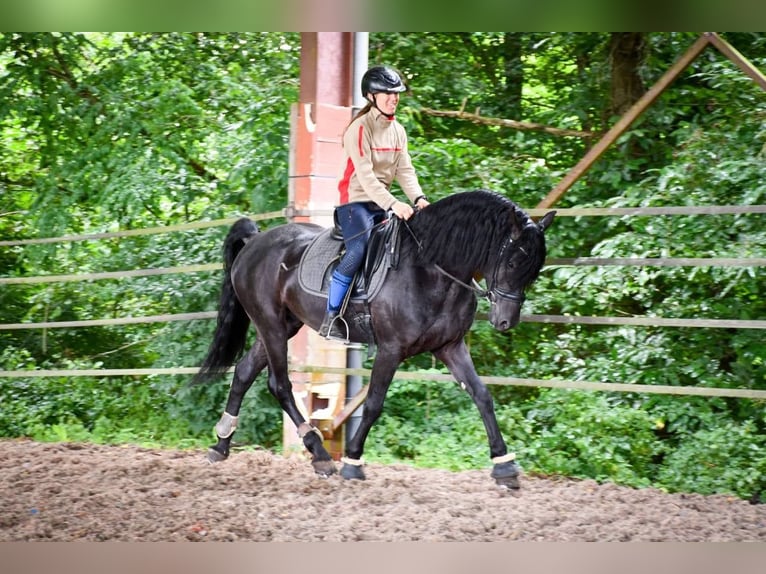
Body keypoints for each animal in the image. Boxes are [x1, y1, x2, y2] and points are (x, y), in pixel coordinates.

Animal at [195, 191, 556, 488]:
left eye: (534, 269)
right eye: (512, 261)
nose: (506, 322)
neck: (431, 269)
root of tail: (256, 241)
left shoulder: (450, 347)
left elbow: (482, 396)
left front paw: (504, 465)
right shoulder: (391, 349)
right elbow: (373, 404)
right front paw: (353, 461)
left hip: (284, 325)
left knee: (245, 372)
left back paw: (221, 444)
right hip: (269, 324)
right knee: (280, 384)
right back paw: (320, 455)